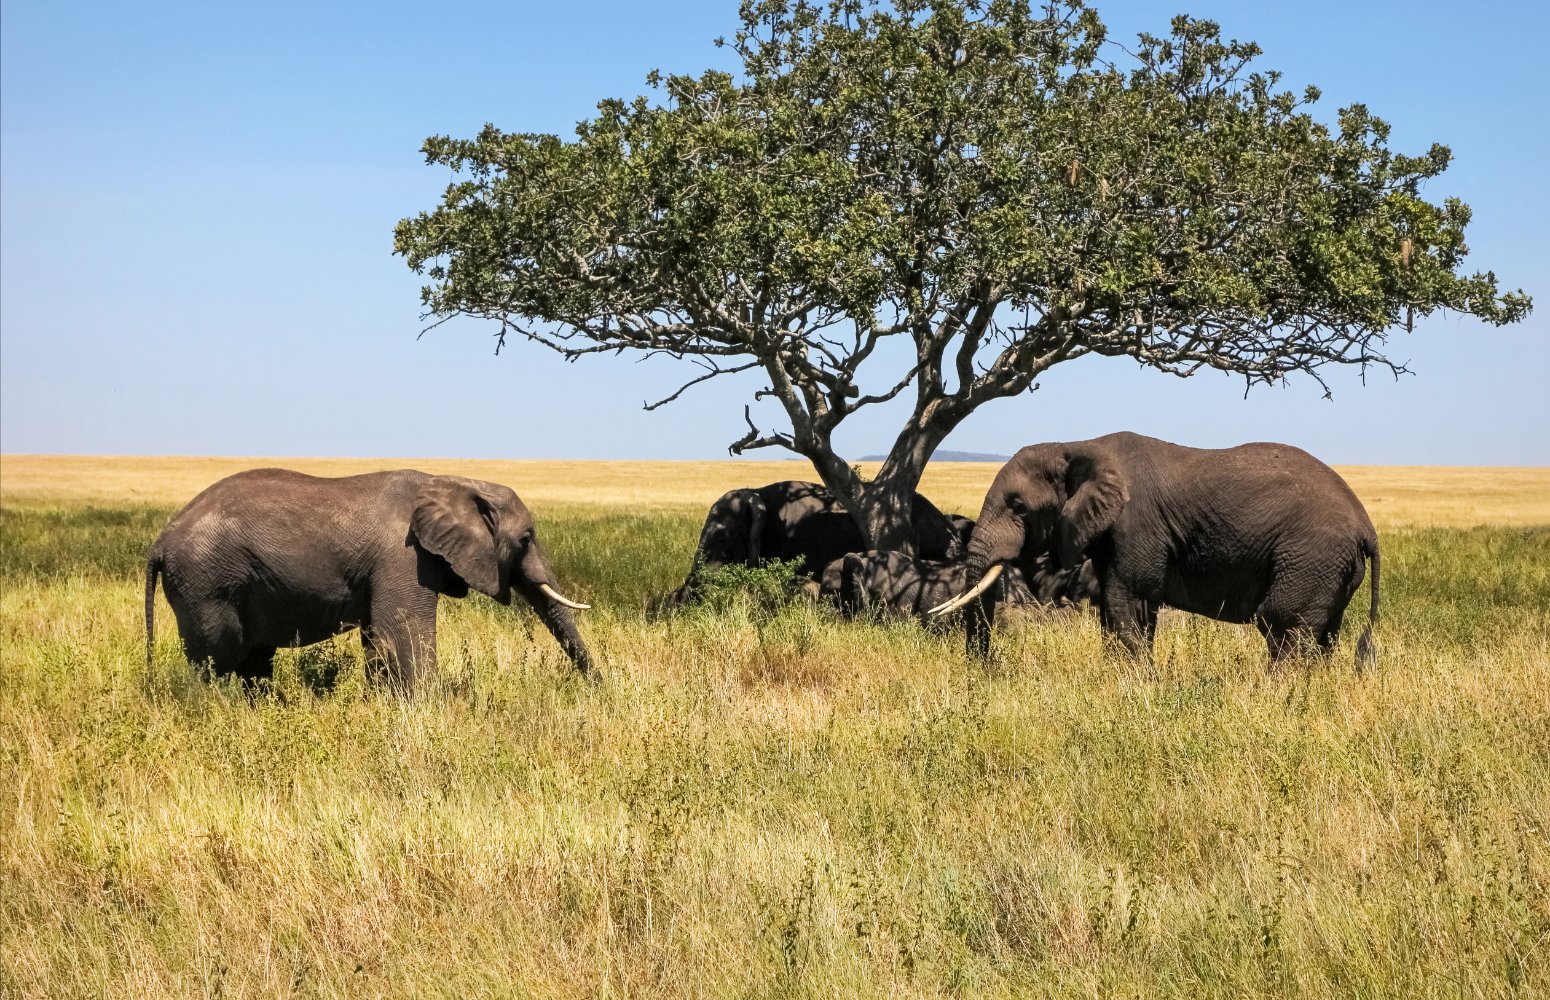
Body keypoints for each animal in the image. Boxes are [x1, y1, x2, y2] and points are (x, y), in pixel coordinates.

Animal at [145, 469, 595, 688]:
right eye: (526, 538)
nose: (599, 691)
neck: (456, 480)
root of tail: (160, 541)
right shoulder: (404, 557)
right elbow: (405, 630)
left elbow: (379, 637)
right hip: (207, 584)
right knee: (216, 658)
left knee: (254, 658)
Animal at [933, 432, 1379, 667]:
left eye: (1018, 506)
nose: (984, 671)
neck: (1076, 445)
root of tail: (1365, 523)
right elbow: (1123, 610)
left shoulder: (1136, 526)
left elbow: (1126, 602)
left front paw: (1137, 685)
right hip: (1330, 567)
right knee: (1322, 634)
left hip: (1310, 556)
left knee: (1284, 625)